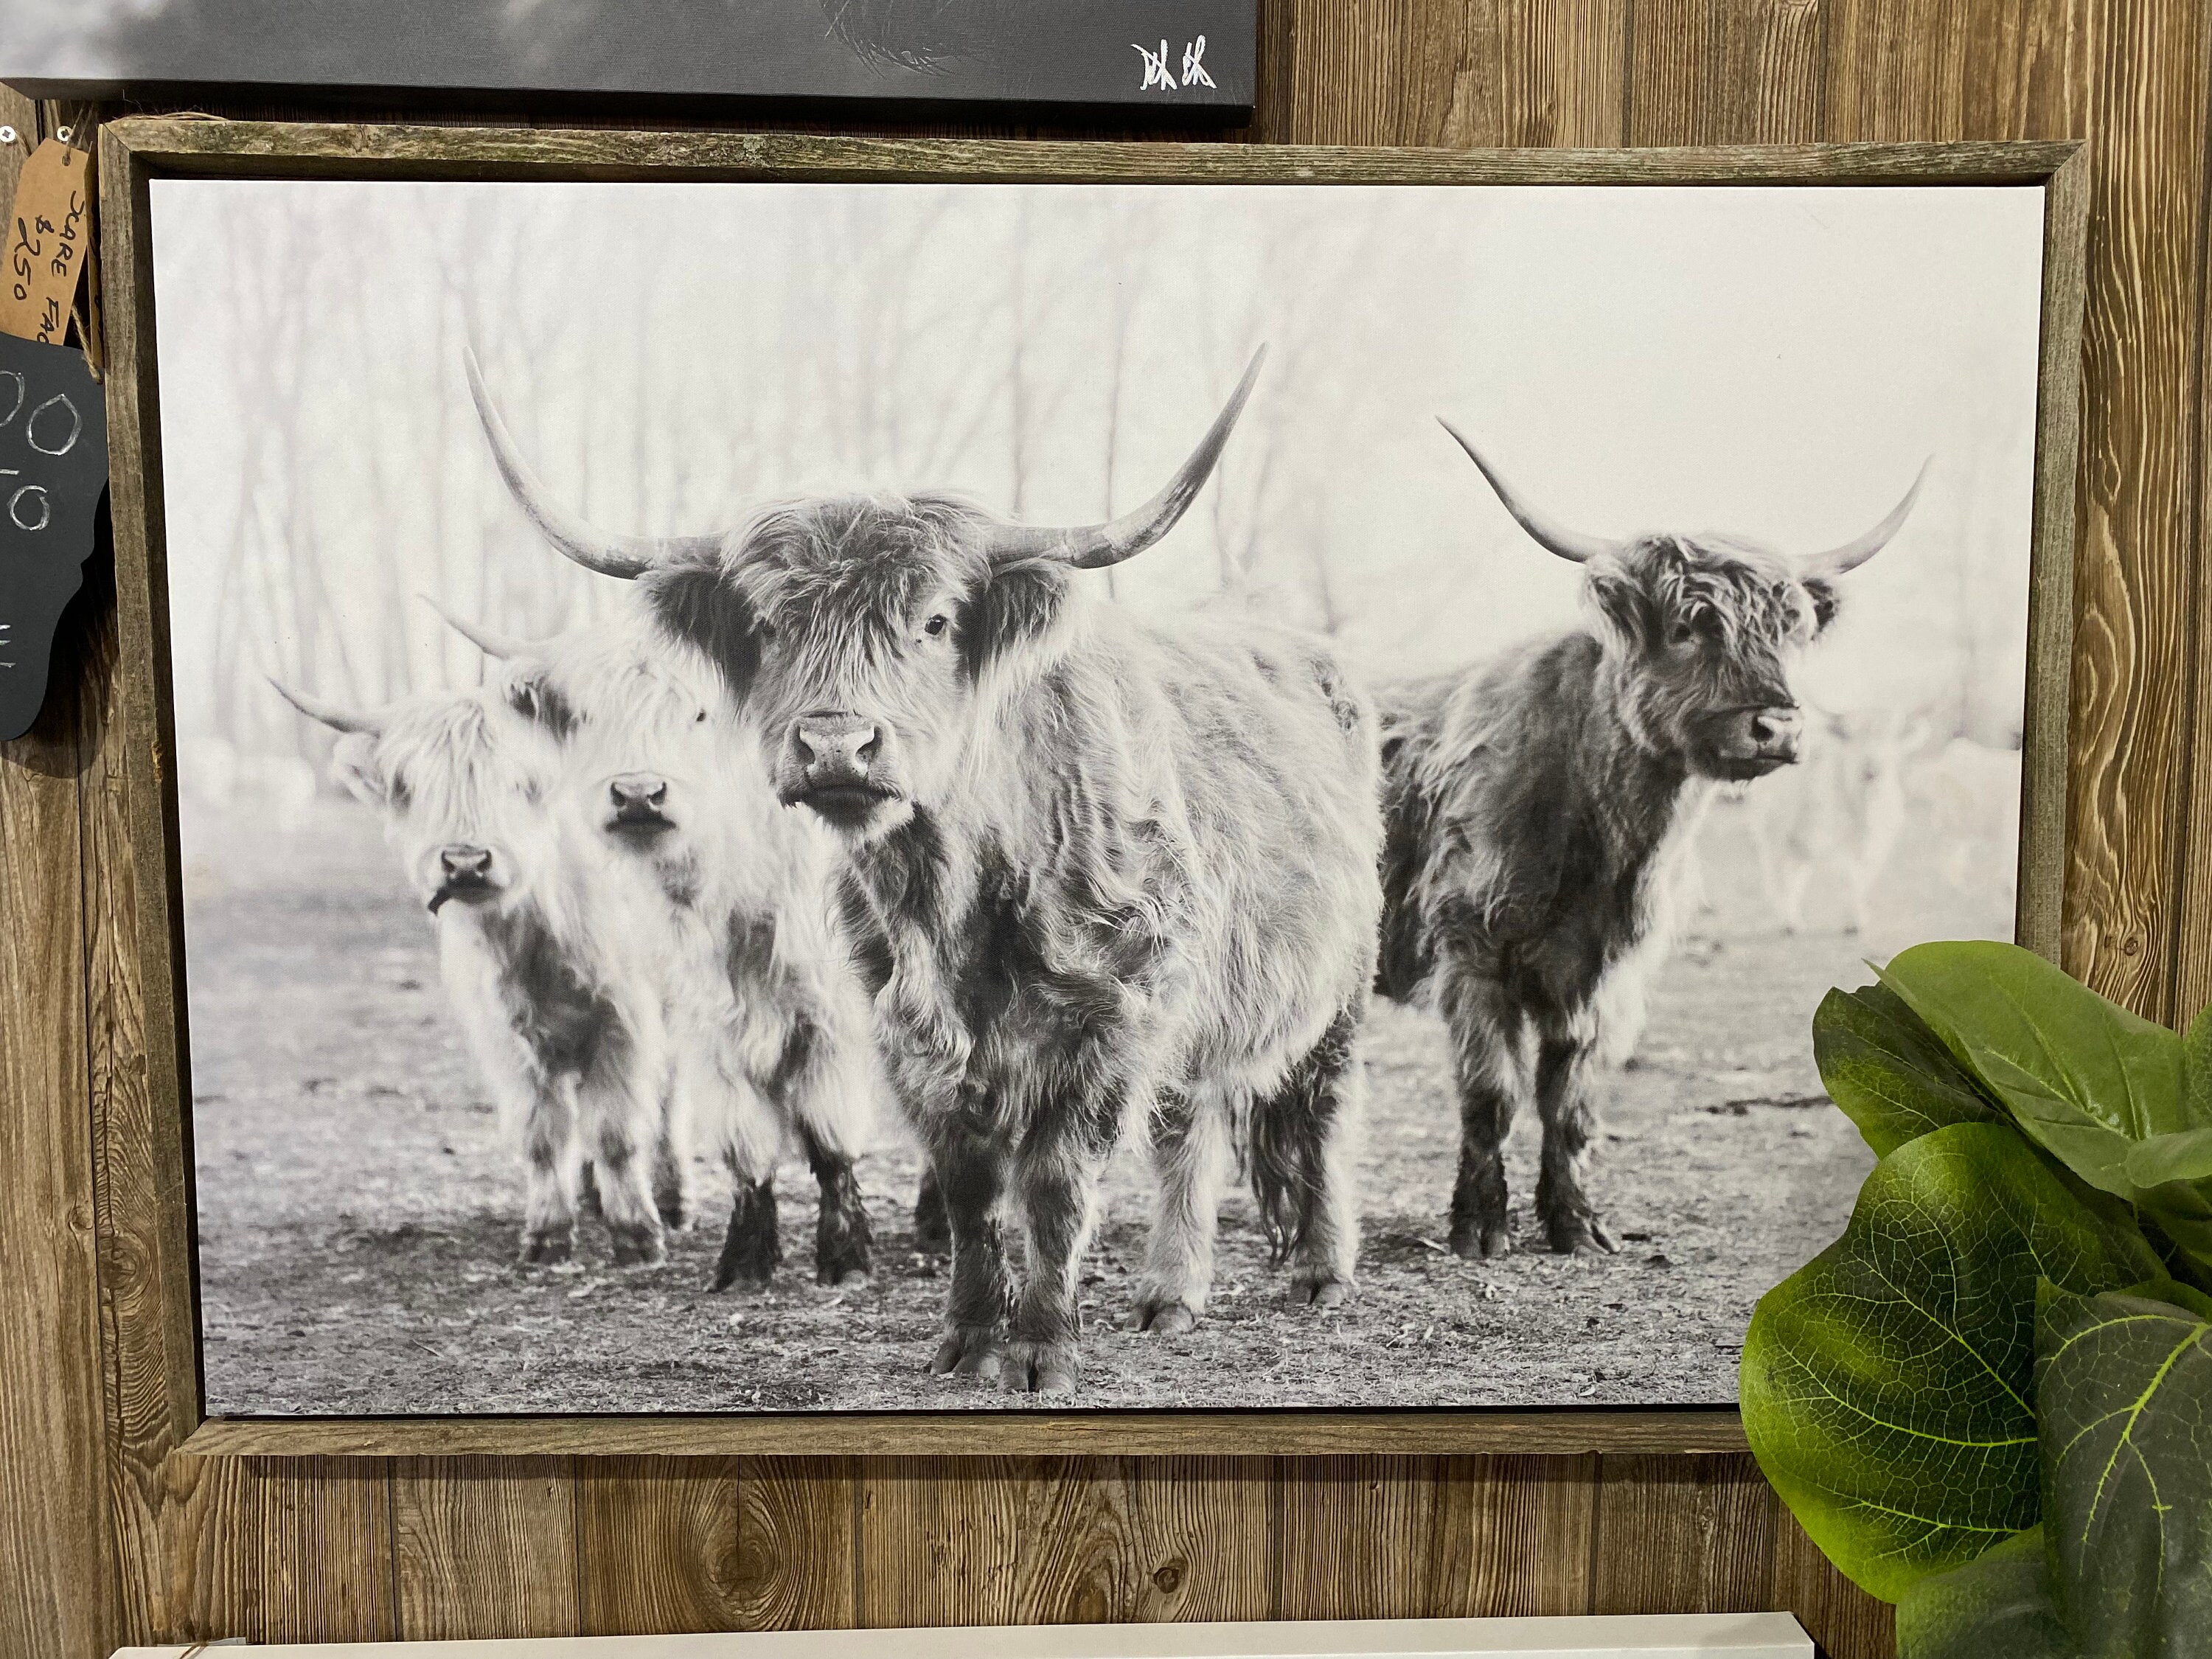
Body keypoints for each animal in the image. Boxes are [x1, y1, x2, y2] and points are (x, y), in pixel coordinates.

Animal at [270, 677, 679, 1269]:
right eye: (409, 785)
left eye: (522, 783)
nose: (465, 863)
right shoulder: (504, 1036)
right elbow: (541, 1134)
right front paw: (548, 1233)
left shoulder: (625, 1019)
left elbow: (616, 1131)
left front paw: (637, 1236)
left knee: (669, 1100)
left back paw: (670, 1197)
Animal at [429, 601, 886, 1289]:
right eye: (588, 717)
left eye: (699, 713)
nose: (638, 795)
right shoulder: (710, 1018)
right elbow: (743, 1140)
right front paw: (745, 1259)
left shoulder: (835, 1015)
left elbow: (831, 1137)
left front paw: (846, 1256)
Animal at [1377, 424, 1925, 1257]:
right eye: (1686, 627)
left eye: (1788, 631)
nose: (1775, 726)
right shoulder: (1472, 952)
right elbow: (1492, 1095)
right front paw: (1478, 1228)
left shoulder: (1598, 973)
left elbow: (1569, 1101)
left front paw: (1576, 1225)